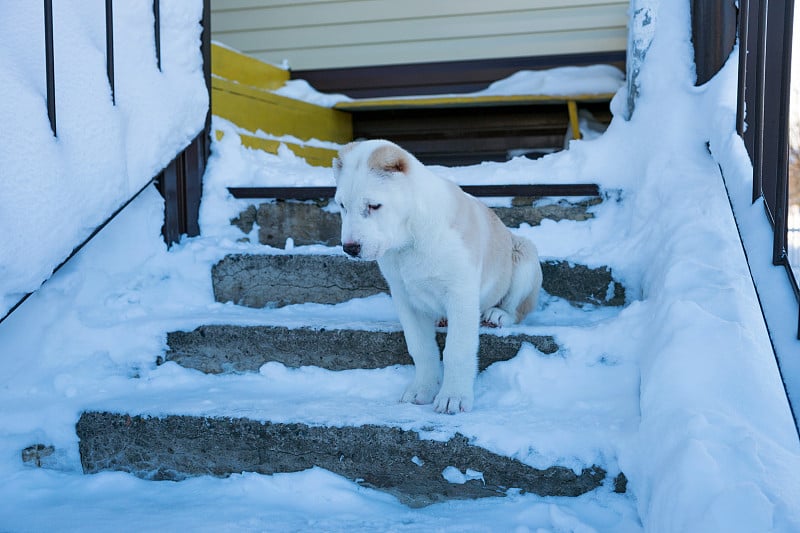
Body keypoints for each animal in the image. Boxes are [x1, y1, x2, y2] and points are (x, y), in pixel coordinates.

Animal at [332, 140, 544, 412]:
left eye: (374, 206)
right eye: (342, 206)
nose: (350, 248)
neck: (409, 240)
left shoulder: (461, 292)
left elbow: (457, 350)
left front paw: (454, 397)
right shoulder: (404, 297)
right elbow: (420, 348)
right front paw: (421, 390)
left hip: (525, 254)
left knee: (517, 309)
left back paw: (497, 315)